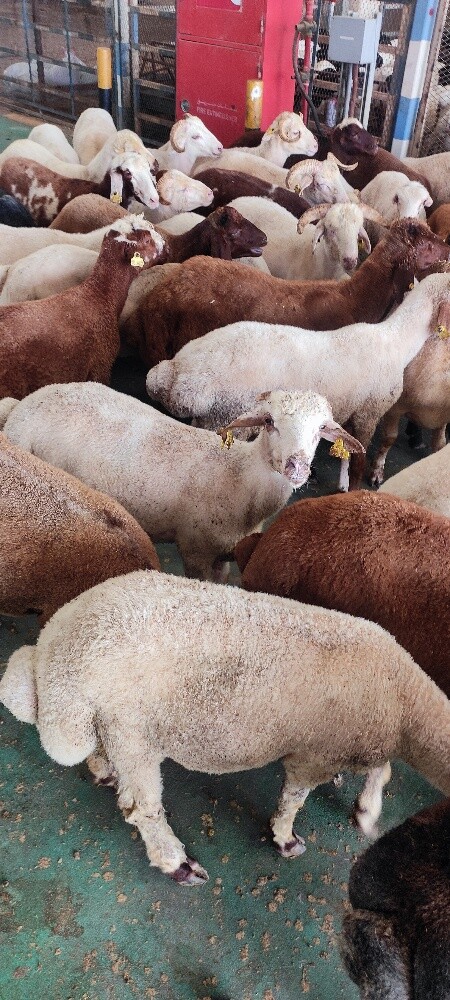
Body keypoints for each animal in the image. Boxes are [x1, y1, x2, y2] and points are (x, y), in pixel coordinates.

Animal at [1, 384, 363, 581]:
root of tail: (24, 403)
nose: (297, 467)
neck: (240, 477)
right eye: (269, 422)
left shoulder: (222, 554)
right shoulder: (195, 549)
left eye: (321, 428)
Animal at [1, 570, 450, 885]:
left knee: (98, 752)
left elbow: (381, 769)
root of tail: (51, 649)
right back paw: (179, 864)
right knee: (143, 810)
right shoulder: (315, 755)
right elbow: (294, 799)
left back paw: (103, 771)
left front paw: (365, 810)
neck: (407, 705)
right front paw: (286, 839)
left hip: (103, 720)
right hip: (130, 731)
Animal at [145, 271, 450, 491]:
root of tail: (176, 372)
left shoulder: (354, 412)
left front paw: (341, 484)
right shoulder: (369, 412)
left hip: (211, 417)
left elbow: (346, 452)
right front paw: (353, 490)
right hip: (228, 415)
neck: (395, 341)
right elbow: (359, 460)